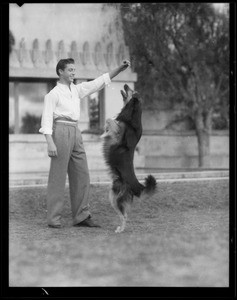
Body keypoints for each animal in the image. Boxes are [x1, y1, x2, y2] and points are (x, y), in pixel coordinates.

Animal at [101, 83, 156, 233]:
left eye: (132, 90)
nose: (125, 84)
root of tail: (137, 186)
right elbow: (111, 120)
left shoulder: (119, 133)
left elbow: (110, 119)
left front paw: (104, 132)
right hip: (113, 195)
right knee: (124, 214)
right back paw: (120, 228)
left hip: (115, 197)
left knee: (124, 215)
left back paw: (120, 230)